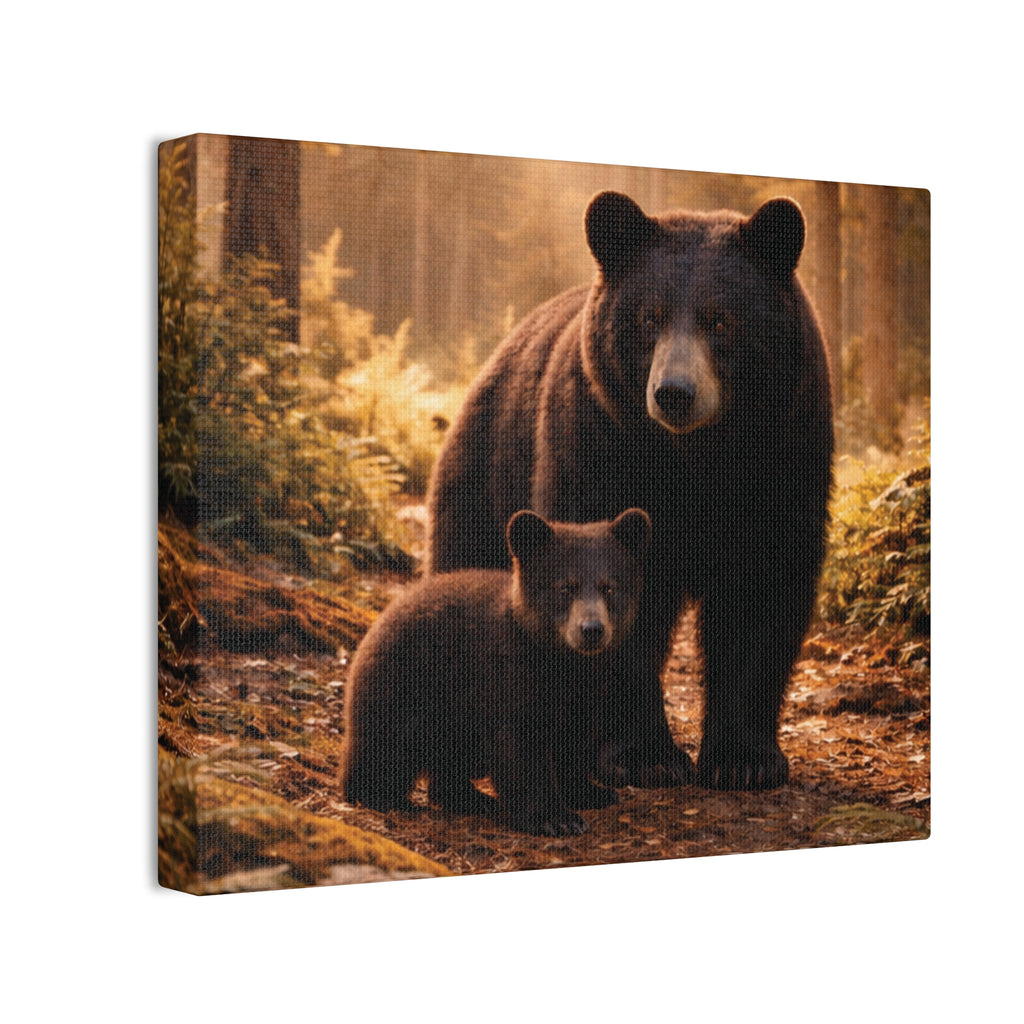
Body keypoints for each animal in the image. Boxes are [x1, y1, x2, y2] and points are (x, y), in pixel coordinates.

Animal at [340, 508, 651, 836]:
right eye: (565, 586)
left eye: (609, 587)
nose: (591, 629)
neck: (560, 663)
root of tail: (381, 616)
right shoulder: (507, 679)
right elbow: (521, 747)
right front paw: (555, 817)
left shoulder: (586, 692)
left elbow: (574, 741)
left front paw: (591, 792)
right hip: (407, 687)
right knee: (386, 747)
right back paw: (382, 796)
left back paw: (471, 798)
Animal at [427, 190, 834, 791]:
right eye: (649, 317)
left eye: (720, 319)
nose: (674, 393)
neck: (696, 458)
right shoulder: (602, 444)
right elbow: (608, 583)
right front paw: (646, 755)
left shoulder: (783, 455)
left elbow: (762, 588)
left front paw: (745, 759)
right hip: (487, 475)